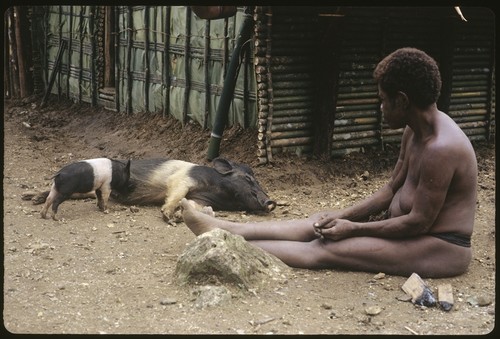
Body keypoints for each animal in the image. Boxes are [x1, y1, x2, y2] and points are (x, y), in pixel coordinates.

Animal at [112, 157, 278, 222]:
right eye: (248, 178)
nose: (271, 201)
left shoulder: (201, 200)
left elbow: (192, 205)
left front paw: (179, 216)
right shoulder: (183, 179)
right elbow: (178, 194)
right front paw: (167, 215)